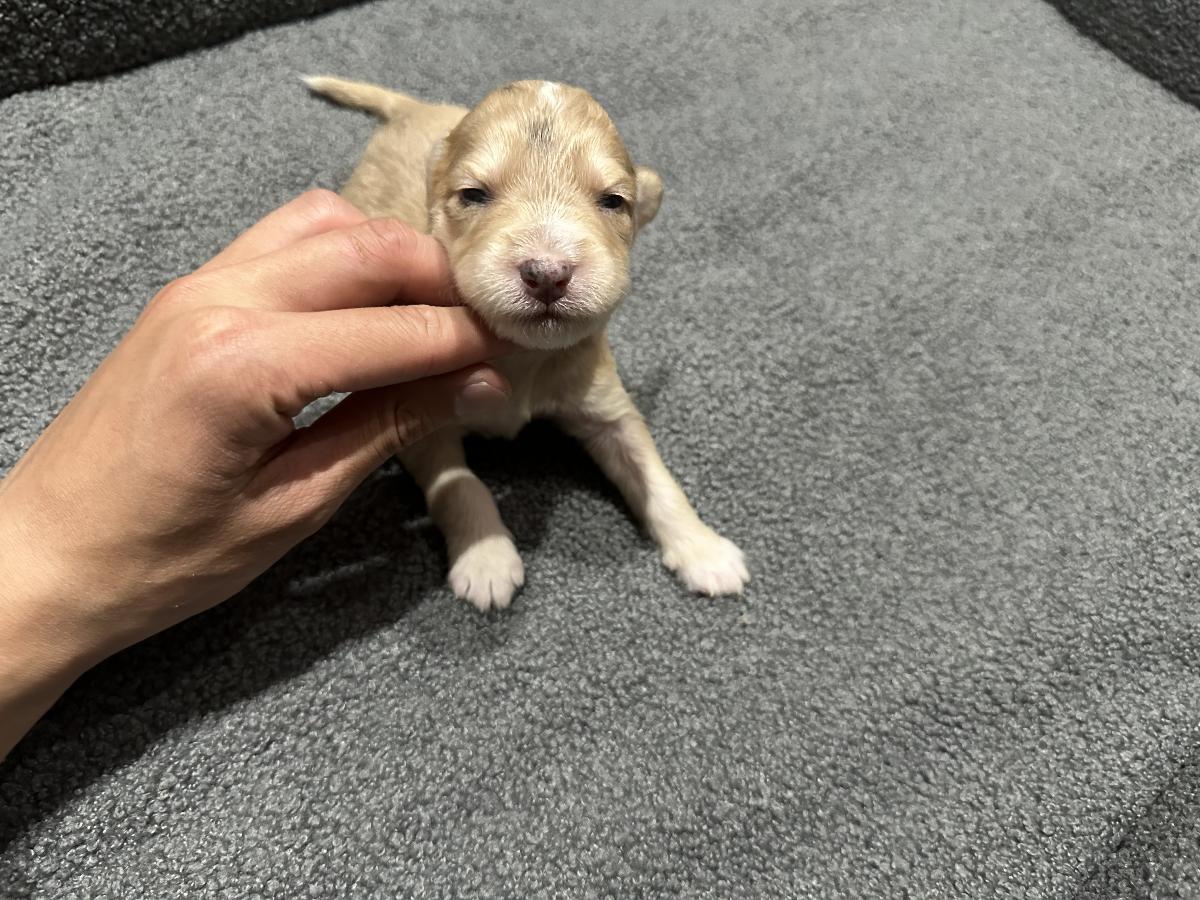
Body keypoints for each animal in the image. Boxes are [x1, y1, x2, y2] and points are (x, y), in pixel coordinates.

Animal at [304, 76, 749, 611]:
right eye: (473, 194)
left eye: (614, 201)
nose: (548, 274)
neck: (521, 354)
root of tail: (415, 108)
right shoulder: (423, 421)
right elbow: (460, 484)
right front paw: (487, 560)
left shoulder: (607, 404)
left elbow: (654, 474)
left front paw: (703, 549)